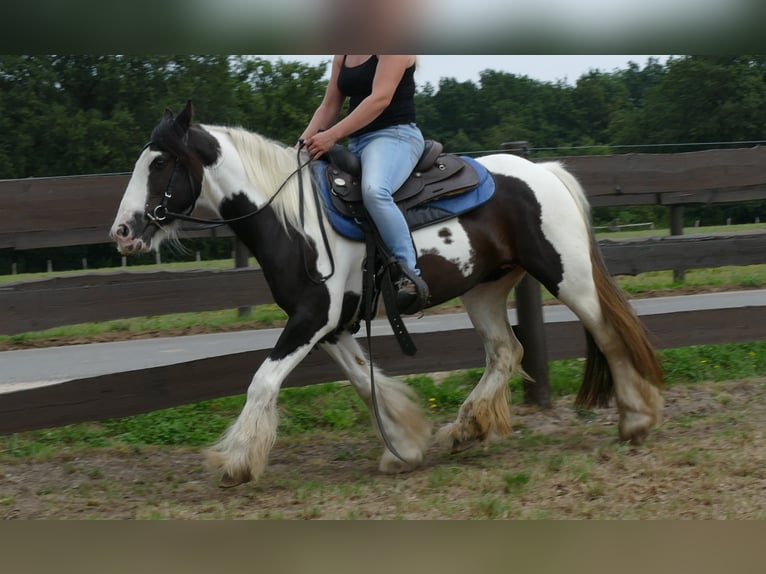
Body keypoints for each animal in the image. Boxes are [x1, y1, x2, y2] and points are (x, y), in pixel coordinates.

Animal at [109, 101, 664, 488]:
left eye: (160, 164)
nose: (122, 231)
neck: (293, 219)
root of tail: (543, 171)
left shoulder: (310, 318)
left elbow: (262, 382)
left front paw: (237, 461)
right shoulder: (330, 324)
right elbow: (364, 380)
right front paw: (405, 446)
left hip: (566, 275)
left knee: (608, 334)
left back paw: (636, 420)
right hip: (484, 290)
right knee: (507, 351)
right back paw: (466, 428)